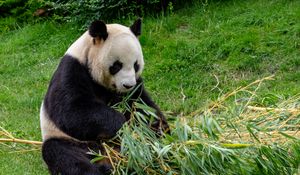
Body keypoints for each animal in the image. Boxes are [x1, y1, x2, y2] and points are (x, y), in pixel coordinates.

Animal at [40, 18, 169, 174]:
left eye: (136, 65)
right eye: (117, 65)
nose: (128, 85)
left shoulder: (134, 88)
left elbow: (143, 107)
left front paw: (153, 129)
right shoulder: (72, 70)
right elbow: (71, 111)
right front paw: (121, 124)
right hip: (72, 141)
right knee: (63, 154)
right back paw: (104, 169)